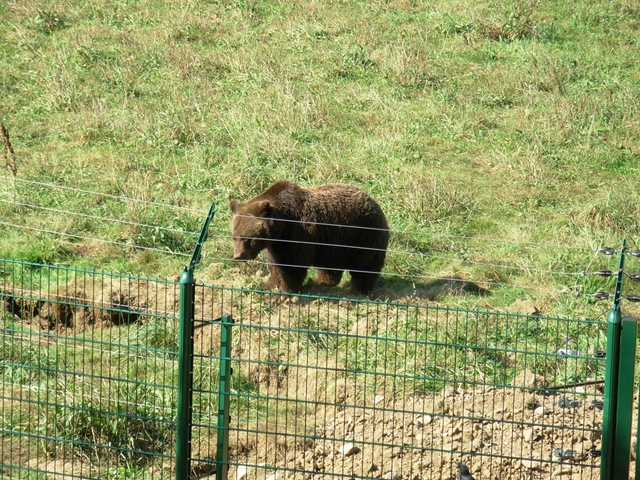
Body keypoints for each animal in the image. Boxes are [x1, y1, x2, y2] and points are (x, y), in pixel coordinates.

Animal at [230, 180, 390, 292]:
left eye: (248, 238)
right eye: (234, 236)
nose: (238, 256)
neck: (280, 227)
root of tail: (375, 203)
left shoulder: (295, 235)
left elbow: (292, 263)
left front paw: (286, 289)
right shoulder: (274, 245)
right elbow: (274, 264)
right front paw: (268, 283)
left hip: (364, 234)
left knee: (365, 263)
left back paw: (358, 289)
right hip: (334, 243)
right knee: (330, 265)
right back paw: (321, 280)